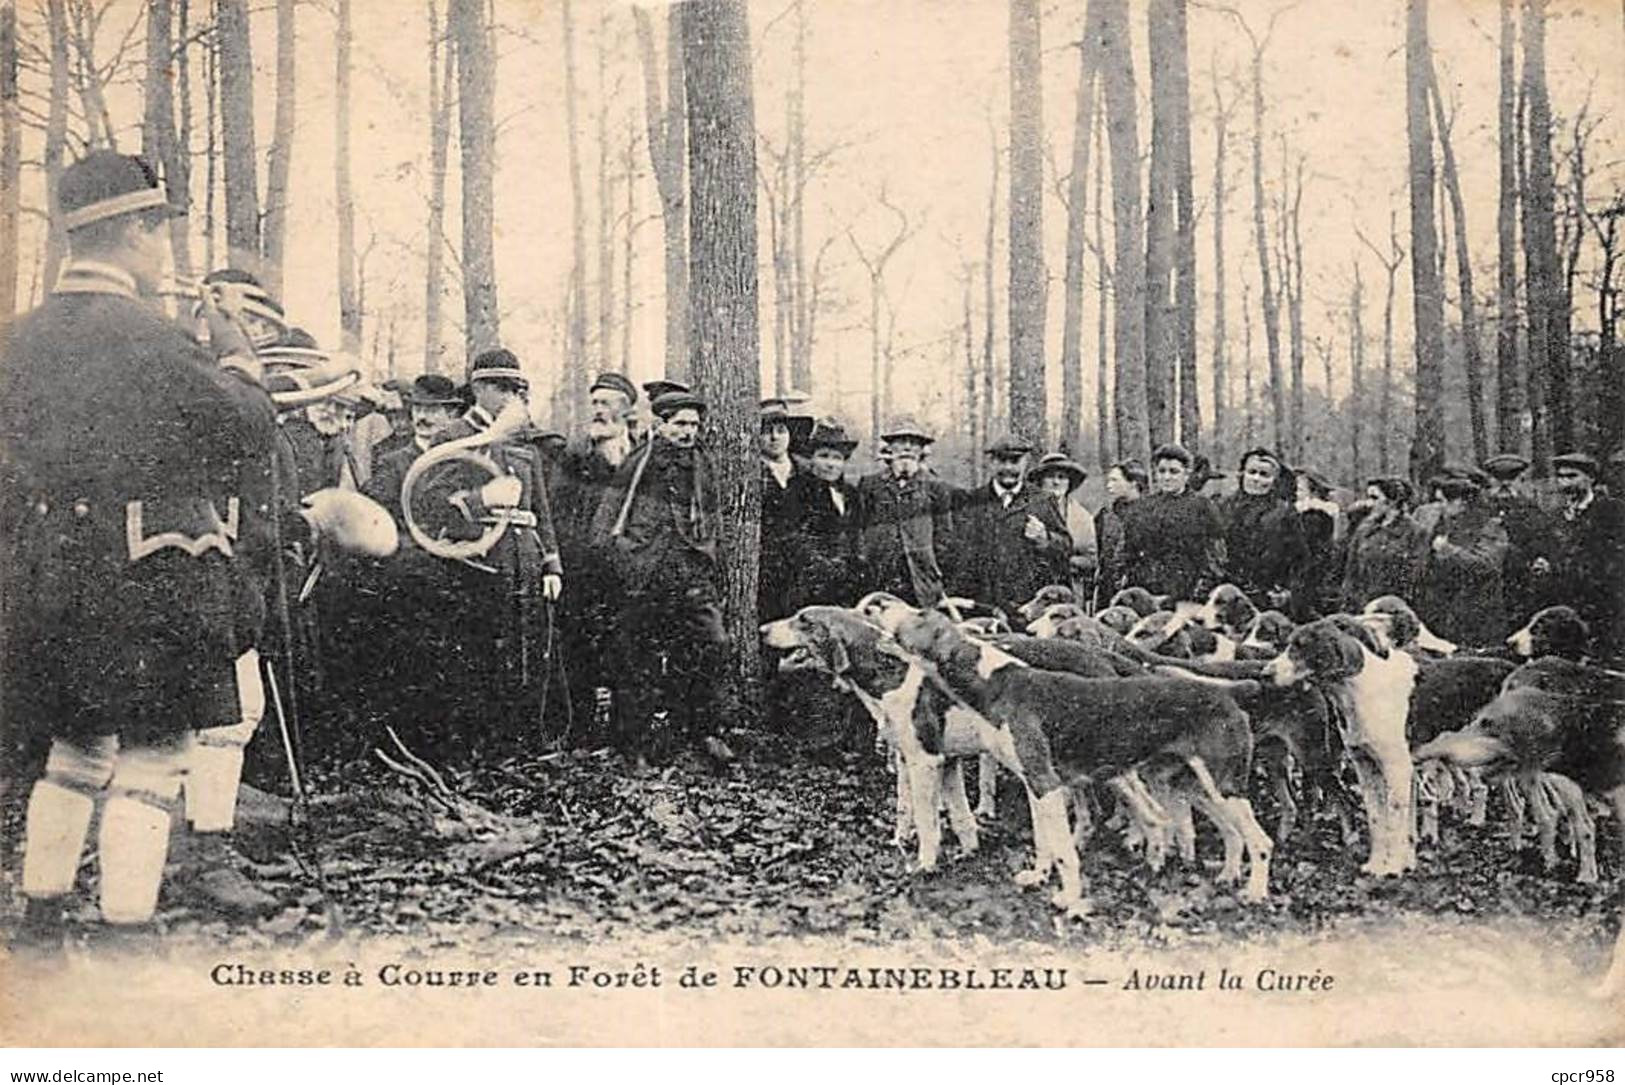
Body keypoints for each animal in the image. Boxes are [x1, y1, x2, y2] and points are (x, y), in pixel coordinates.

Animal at [871, 597, 1274, 909]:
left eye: (918, 615)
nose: (881, 606)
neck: (998, 682)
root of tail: (1228, 691)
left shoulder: (1045, 783)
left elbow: (1064, 850)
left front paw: (1070, 899)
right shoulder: (1034, 784)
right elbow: (1044, 842)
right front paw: (1038, 876)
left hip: (1224, 784)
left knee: (1261, 842)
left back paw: (1254, 893)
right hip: (1197, 784)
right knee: (1233, 833)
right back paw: (1227, 876)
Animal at [1261, 613, 1417, 877]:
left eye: (1300, 646)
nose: (1264, 674)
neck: (1363, 689)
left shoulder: (1397, 768)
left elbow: (1395, 821)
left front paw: (1394, 867)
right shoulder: (1365, 766)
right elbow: (1376, 819)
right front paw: (1376, 864)